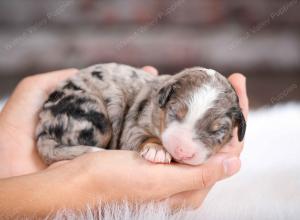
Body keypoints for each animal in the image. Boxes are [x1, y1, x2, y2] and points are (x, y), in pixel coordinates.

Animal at [35, 62, 246, 164]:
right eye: (174, 112)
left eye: (217, 131)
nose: (182, 151)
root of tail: (41, 127)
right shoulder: (133, 125)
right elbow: (140, 136)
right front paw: (157, 150)